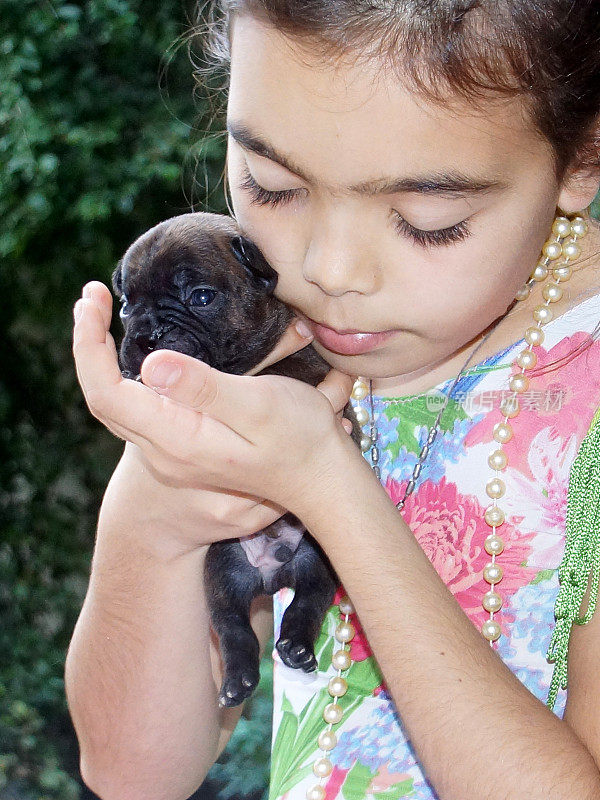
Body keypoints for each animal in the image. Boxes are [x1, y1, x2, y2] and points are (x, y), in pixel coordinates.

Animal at [111, 212, 360, 708]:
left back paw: (296, 647)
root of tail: (270, 574)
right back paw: (238, 679)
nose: (148, 336)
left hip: (317, 558)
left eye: (201, 297)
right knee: (231, 627)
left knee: (307, 602)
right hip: (221, 571)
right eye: (126, 306)